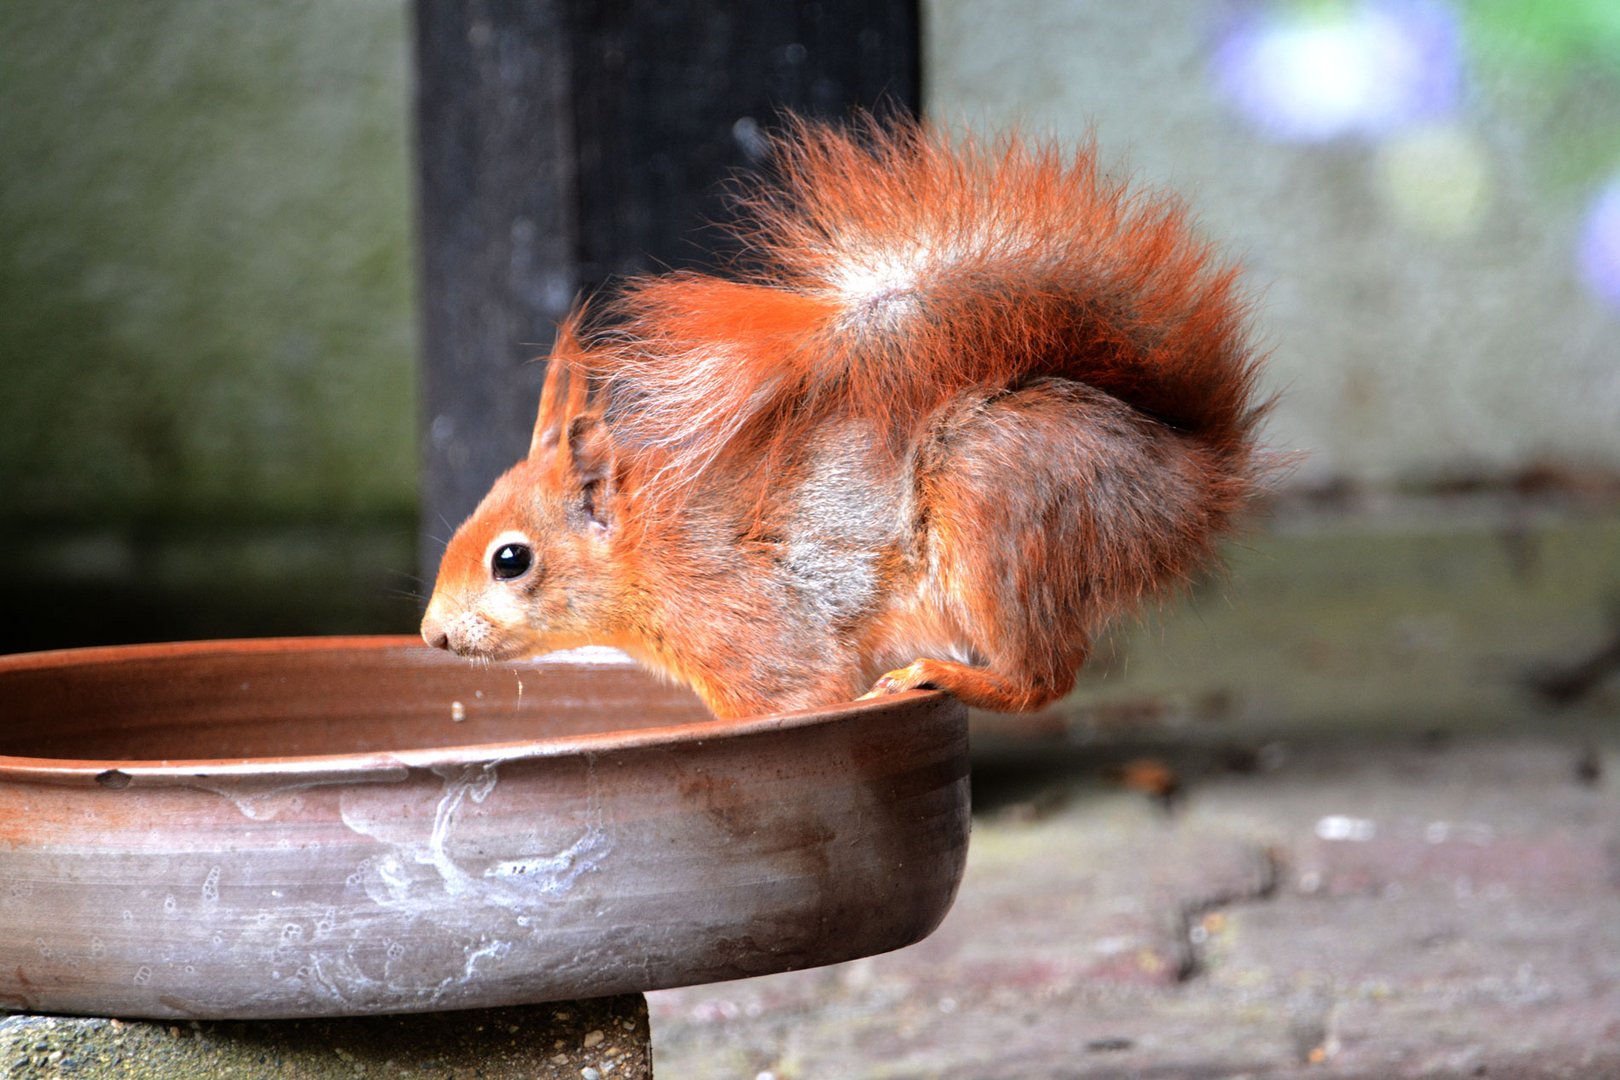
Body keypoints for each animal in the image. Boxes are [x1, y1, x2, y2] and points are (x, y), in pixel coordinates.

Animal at [421, 118, 1263, 722]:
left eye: (510, 560)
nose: (432, 635)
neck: (649, 556)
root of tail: (1192, 471)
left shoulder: (757, 639)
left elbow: (803, 698)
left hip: (999, 510)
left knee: (1040, 681)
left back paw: (936, 674)